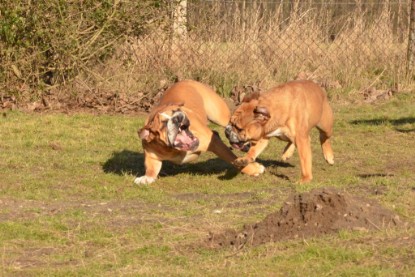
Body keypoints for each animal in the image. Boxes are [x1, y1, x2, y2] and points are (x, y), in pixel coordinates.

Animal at [136, 79, 266, 183]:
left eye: (176, 110)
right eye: (163, 124)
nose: (178, 117)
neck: (174, 150)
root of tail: (186, 80)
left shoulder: (214, 143)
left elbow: (232, 158)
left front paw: (253, 169)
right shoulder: (151, 156)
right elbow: (151, 170)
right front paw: (145, 178)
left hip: (221, 116)